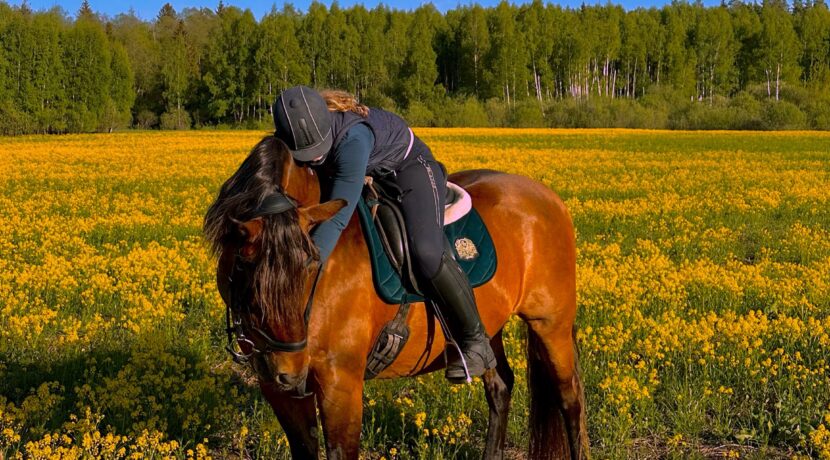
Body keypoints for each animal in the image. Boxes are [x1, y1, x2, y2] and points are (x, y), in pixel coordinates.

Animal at [204, 136, 588, 460]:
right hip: (488, 327)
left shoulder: (340, 384)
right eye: (244, 267)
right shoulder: (280, 394)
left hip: (550, 324)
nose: (288, 372)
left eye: (312, 263)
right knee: (500, 386)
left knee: (569, 397)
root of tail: (548, 197)